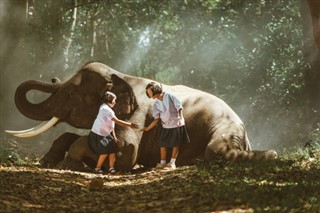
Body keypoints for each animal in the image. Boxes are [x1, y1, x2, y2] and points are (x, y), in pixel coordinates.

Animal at [5, 61, 278, 171]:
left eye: (72, 93)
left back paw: (272, 154)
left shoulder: (137, 114)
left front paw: (69, 164)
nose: (52, 78)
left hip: (225, 128)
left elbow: (127, 150)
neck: (121, 75)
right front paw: (47, 162)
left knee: (216, 151)